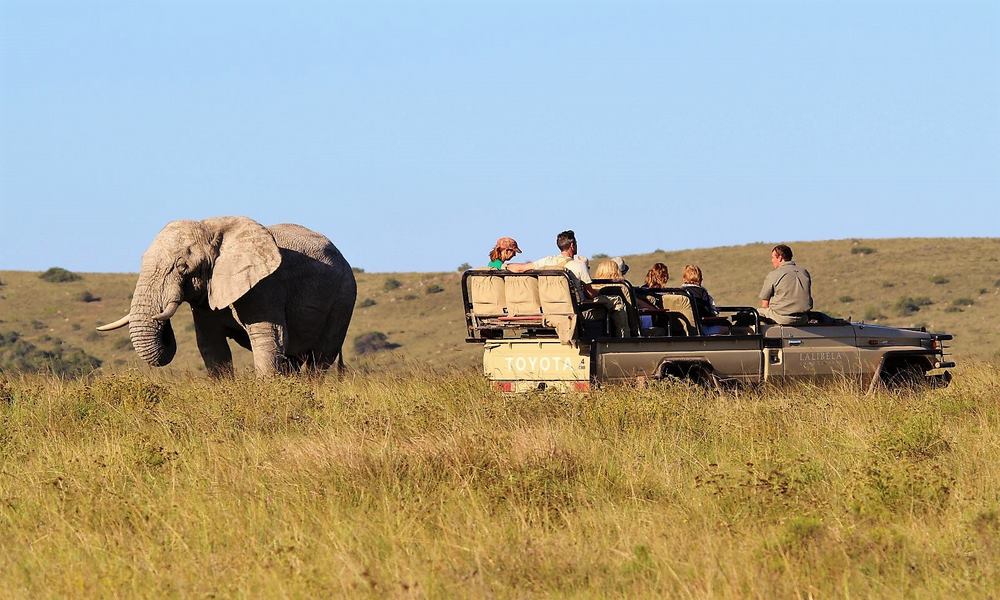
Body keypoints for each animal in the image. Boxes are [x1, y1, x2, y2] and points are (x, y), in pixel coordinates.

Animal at [99, 216, 358, 376]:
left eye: (182, 267)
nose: (161, 319)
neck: (211, 228)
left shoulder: (265, 287)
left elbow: (269, 339)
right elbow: (212, 346)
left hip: (343, 300)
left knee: (319, 360)